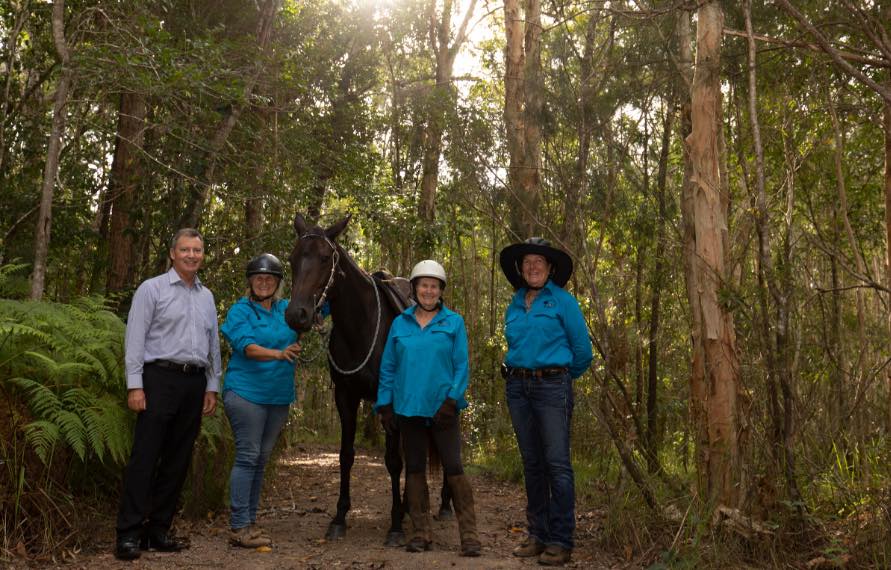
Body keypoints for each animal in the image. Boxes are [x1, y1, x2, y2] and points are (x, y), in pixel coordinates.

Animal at [284, 212, 426, 540]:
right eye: (292, 258)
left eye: (325, 258)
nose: (296, 314)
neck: (362, 326)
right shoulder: (345, 397)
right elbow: (345, 455)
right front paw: (339, 517)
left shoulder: (390, 402)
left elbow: (393, 461)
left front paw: (396, 524)